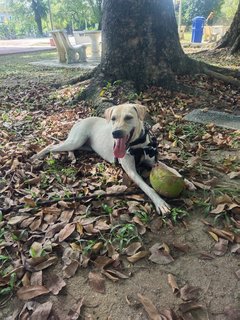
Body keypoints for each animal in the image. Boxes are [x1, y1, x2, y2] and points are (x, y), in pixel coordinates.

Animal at [31, 104, 195, 216]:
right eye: (114, 119)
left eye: (128, 117)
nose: (115, 133)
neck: (138, 146)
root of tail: (80, 120)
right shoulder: (131, 171)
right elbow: (147, 187)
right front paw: (160, 203)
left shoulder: (153, 161)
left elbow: (172, 170)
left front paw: (187, 181)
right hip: (76, 140)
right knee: (52, 146)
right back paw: (37, 156)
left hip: (84, 146)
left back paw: (70, 156)